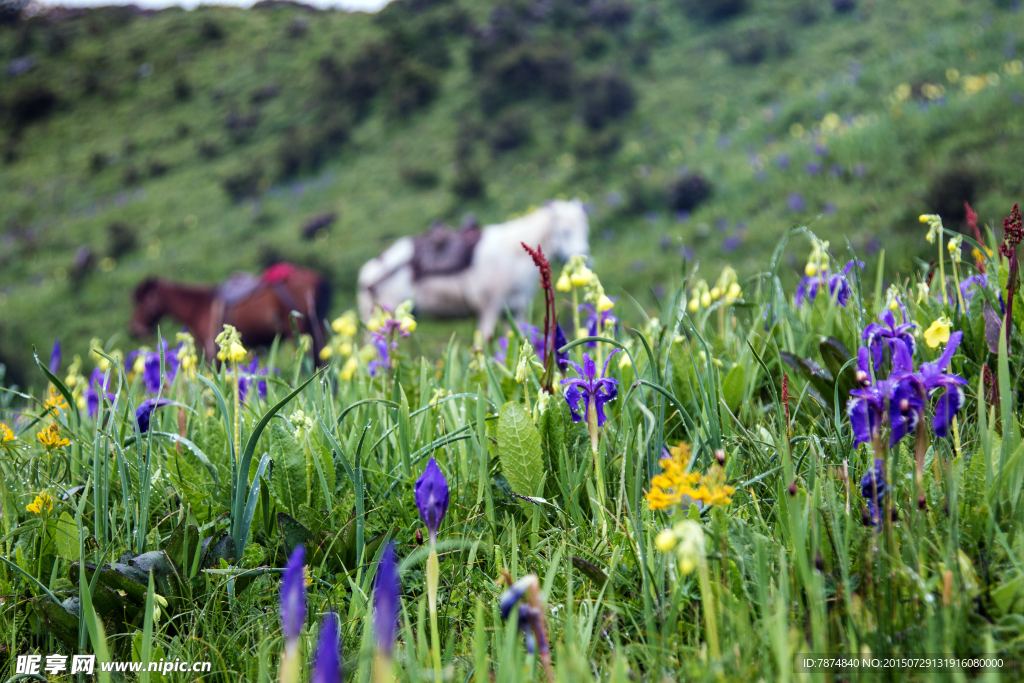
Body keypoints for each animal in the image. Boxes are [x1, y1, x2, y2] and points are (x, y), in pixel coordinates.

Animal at [356, 198, 589, 337]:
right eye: (565, 232)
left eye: (585, 230)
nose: (583, 256)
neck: (511, 258)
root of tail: (369, 271)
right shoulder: (489, 308)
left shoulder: (517, 311)